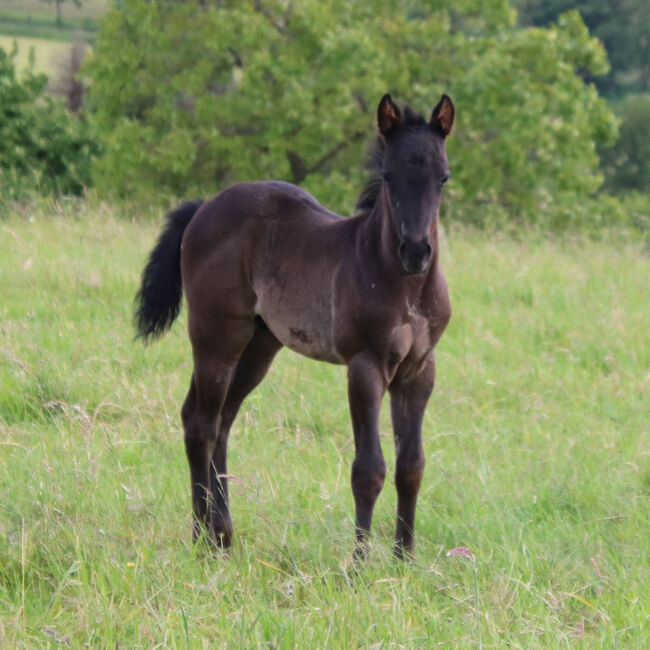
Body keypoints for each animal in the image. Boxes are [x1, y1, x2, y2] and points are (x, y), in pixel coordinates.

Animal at [134, 92, 454, 556]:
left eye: (443, 178)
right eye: (388, 177)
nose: (415, 252)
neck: (402, 283)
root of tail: (204, 208)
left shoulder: (418, 369)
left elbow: (411, 466)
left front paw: (404, 559)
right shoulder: (366, 366)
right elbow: (369, 469)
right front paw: (359, 564)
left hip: (259, 345)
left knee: (219, 420)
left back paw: (220, 532)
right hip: (217, 334)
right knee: (201, 425)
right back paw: (203, 537)